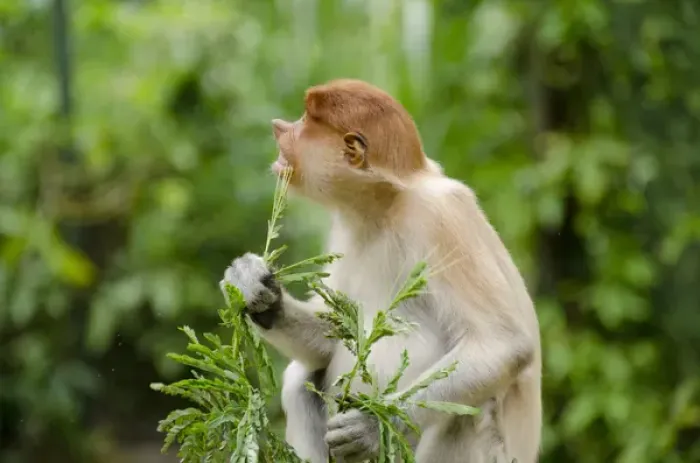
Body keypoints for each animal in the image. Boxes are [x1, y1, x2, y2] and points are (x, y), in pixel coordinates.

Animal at [221, 79, 542, 463]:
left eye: (307, 121)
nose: (279, 128)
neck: (385, 203)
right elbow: (331, 339)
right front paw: (255, 287)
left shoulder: (440, 216)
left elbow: (503, 343)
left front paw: (370, 427)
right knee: (301, 378)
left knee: (471, 410)